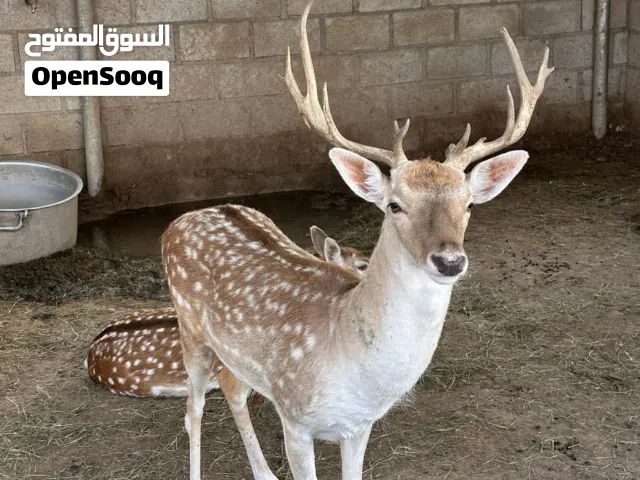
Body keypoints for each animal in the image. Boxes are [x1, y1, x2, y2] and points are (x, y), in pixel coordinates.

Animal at [160, 1, 553, 477]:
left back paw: (264, 471)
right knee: (193, 409)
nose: (449, 261)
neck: (350, 364)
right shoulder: (295, 416)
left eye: (469, 204)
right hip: (190, 330)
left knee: (233, 389)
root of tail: (189, 216)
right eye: (395, 205)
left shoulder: (360, 426)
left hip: (232, 353)